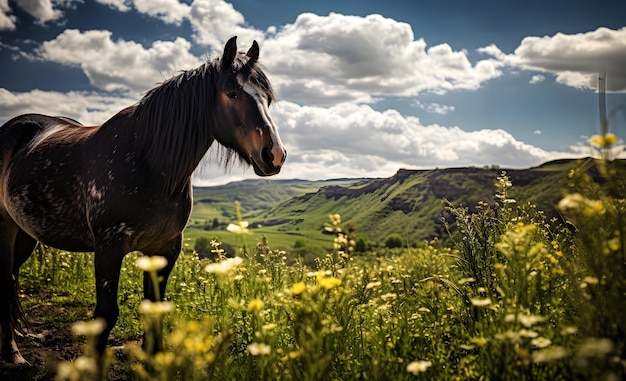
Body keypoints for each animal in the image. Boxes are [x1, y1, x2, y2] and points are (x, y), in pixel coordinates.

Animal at [0, 36, 286, 366]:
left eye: (268, 99)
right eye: (232, 93)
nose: (274, 155)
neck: (147, 163)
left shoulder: (164, 249)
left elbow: (154, 309)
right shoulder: (108, 248)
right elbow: (106, 315)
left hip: (26, 234)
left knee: (11, 279)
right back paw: (13, 354)